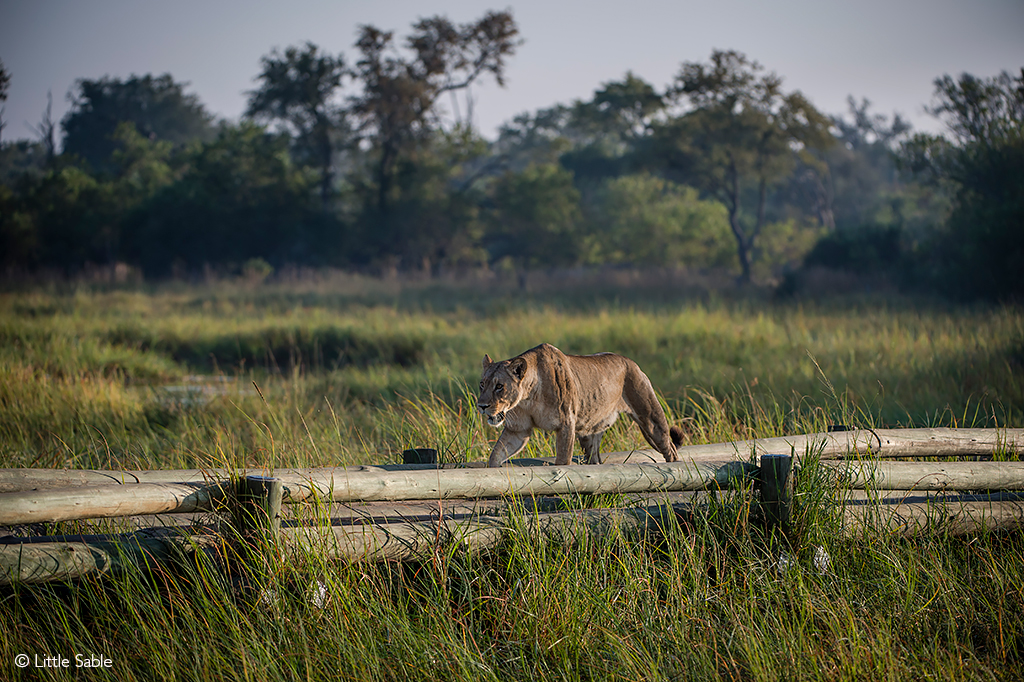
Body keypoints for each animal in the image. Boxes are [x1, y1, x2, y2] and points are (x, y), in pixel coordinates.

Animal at [477, 343, 684, 467]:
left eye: (499, 386)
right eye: (482, 384)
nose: (481, 406)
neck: (528, 397)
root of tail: (632, 363)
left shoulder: (566, 425)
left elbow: (562, 461)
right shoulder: (518, 430)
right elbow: (497, 453)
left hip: (651, 421)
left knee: (671, 450)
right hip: (589, 434)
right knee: (595, 460)